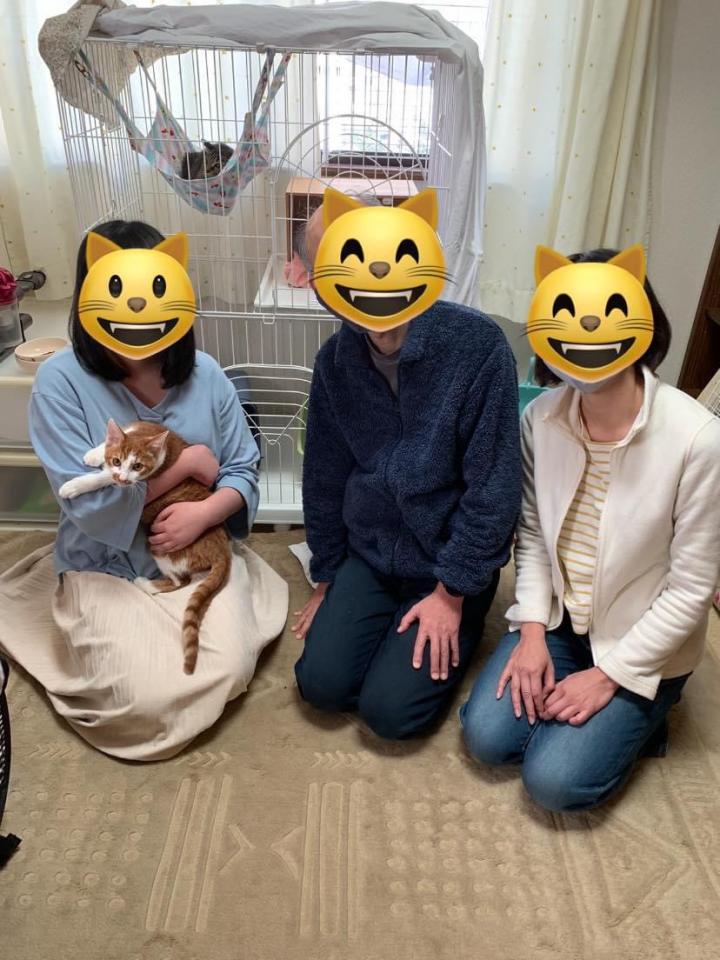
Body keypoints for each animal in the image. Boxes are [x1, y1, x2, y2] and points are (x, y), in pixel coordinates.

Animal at [59, 419, 231, 675]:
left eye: (137, 466)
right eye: (117, 460)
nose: (123, 477)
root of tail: (222, 548)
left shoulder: (142, 480)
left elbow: (105, 478)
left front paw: (75, 485)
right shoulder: (139, 426)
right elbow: (112, 442)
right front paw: (95, 453)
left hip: (163, 548)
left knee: (181, 581)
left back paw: (145, 583)